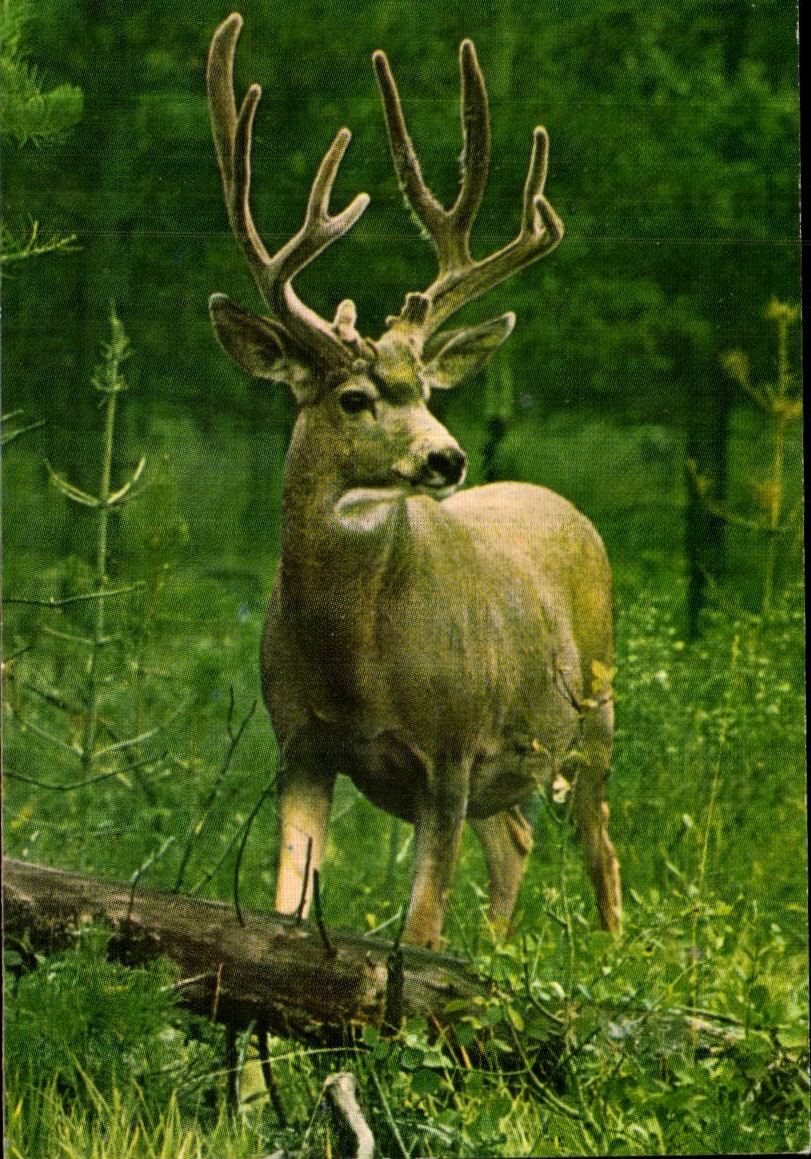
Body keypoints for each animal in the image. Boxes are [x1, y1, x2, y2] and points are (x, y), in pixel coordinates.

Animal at [206, 13, 621, 948]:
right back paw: (499, 957)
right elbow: (288, 908)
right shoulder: (299, 744)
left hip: (596, 709)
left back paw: (614, 959)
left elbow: (422, 934)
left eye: (426, 389)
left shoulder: (452, 751)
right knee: (514, 842)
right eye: (355, 397)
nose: (447, 458)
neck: (358, 661)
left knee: (602, 847)